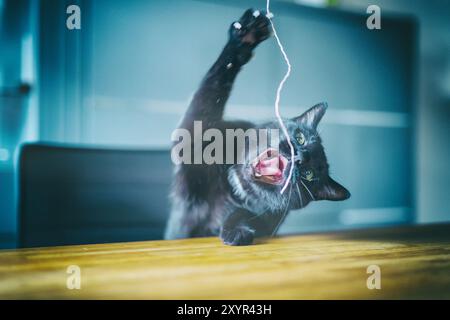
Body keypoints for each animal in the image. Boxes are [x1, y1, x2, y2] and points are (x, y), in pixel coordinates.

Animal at [163, 9, 350, 245]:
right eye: (300, 138)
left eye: (309, 174)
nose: (300, 157)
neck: (234, 185)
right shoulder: (191, 143)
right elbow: (213, 88)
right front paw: (247, 35)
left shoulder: (268, 219)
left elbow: (242, 212)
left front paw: (236, 231)